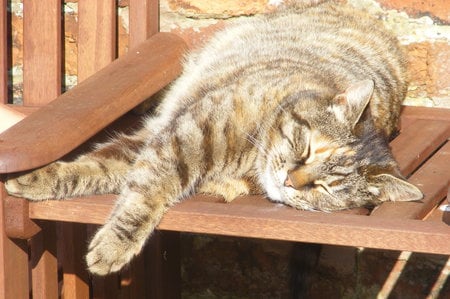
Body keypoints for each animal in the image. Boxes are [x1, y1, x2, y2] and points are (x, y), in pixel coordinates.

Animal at [5, 0, 424, 276]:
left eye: (324, 188)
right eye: (305, 150)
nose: (291, 180)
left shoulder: (167, 148)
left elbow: (133, 192)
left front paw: (112, 245)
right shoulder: (175, 135)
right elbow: (97, 168)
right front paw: (32, 179)